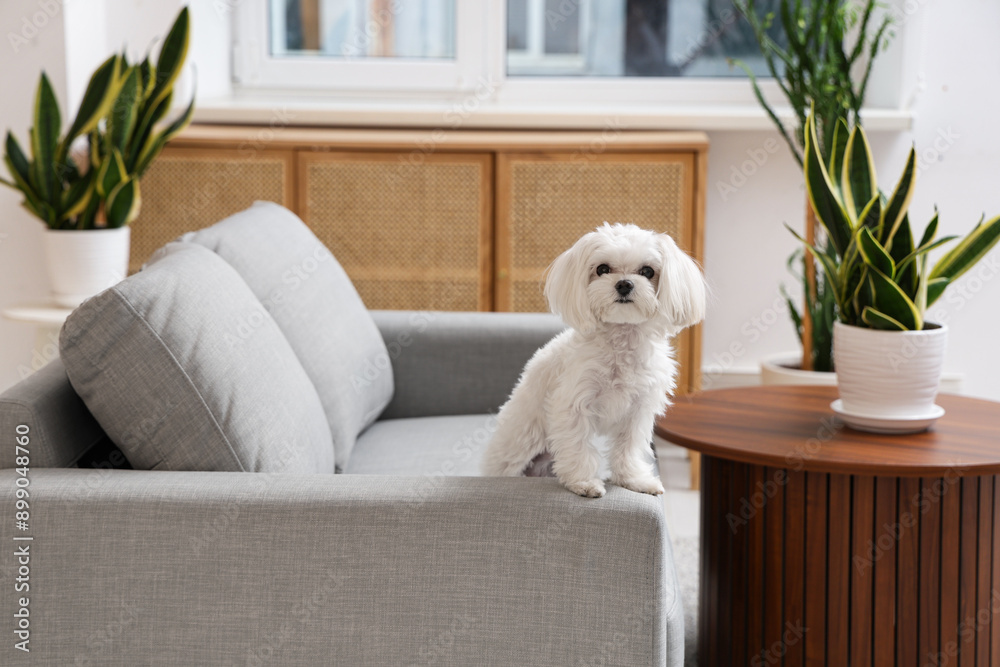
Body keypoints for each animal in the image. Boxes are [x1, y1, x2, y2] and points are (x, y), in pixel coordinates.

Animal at [482, 222, 704, 498]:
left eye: (647, 271)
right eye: (602, 269)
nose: (624, 284)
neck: (621, 340)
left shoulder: (638, 410)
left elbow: (628, 448)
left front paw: (634, 480)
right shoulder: (574, 404)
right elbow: (579, 447)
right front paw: (584, 482)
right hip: (518, 447)